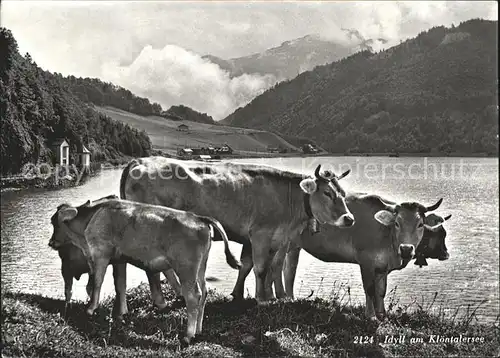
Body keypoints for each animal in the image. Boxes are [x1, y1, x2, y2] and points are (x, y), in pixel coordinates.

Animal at [48, 197, 240, 346]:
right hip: (200, 268)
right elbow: (120, 285)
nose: (51, 242)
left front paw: (90, 309)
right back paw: (198, 330)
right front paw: (121, 313)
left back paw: (188, 335)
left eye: (54, 221)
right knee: (204, 292)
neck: (94, 215)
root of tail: (198, 218)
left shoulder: (100, 254)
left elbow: (96, 283)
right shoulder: (120, 260)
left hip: (186, 270)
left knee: (194, 296)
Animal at [118, 157, 354, 304]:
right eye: (327, 193)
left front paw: (255, 295)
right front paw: (261, 299)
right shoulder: (260, 235)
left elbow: (260, 266)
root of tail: (140, 161)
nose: (349, 219)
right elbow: (261, 268)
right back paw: (167, 298)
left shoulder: (275, 238)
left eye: (343, 193)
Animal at [280, 193, 448, 322]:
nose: (406, 249)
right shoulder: (366, 261)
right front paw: (371, 316)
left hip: (293, 245)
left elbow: (381, 291)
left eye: (420, 224)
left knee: (289, 270)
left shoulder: (382, 267)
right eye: (397, 223)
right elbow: (370, 289)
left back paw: (289, 299)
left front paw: (382, 316)